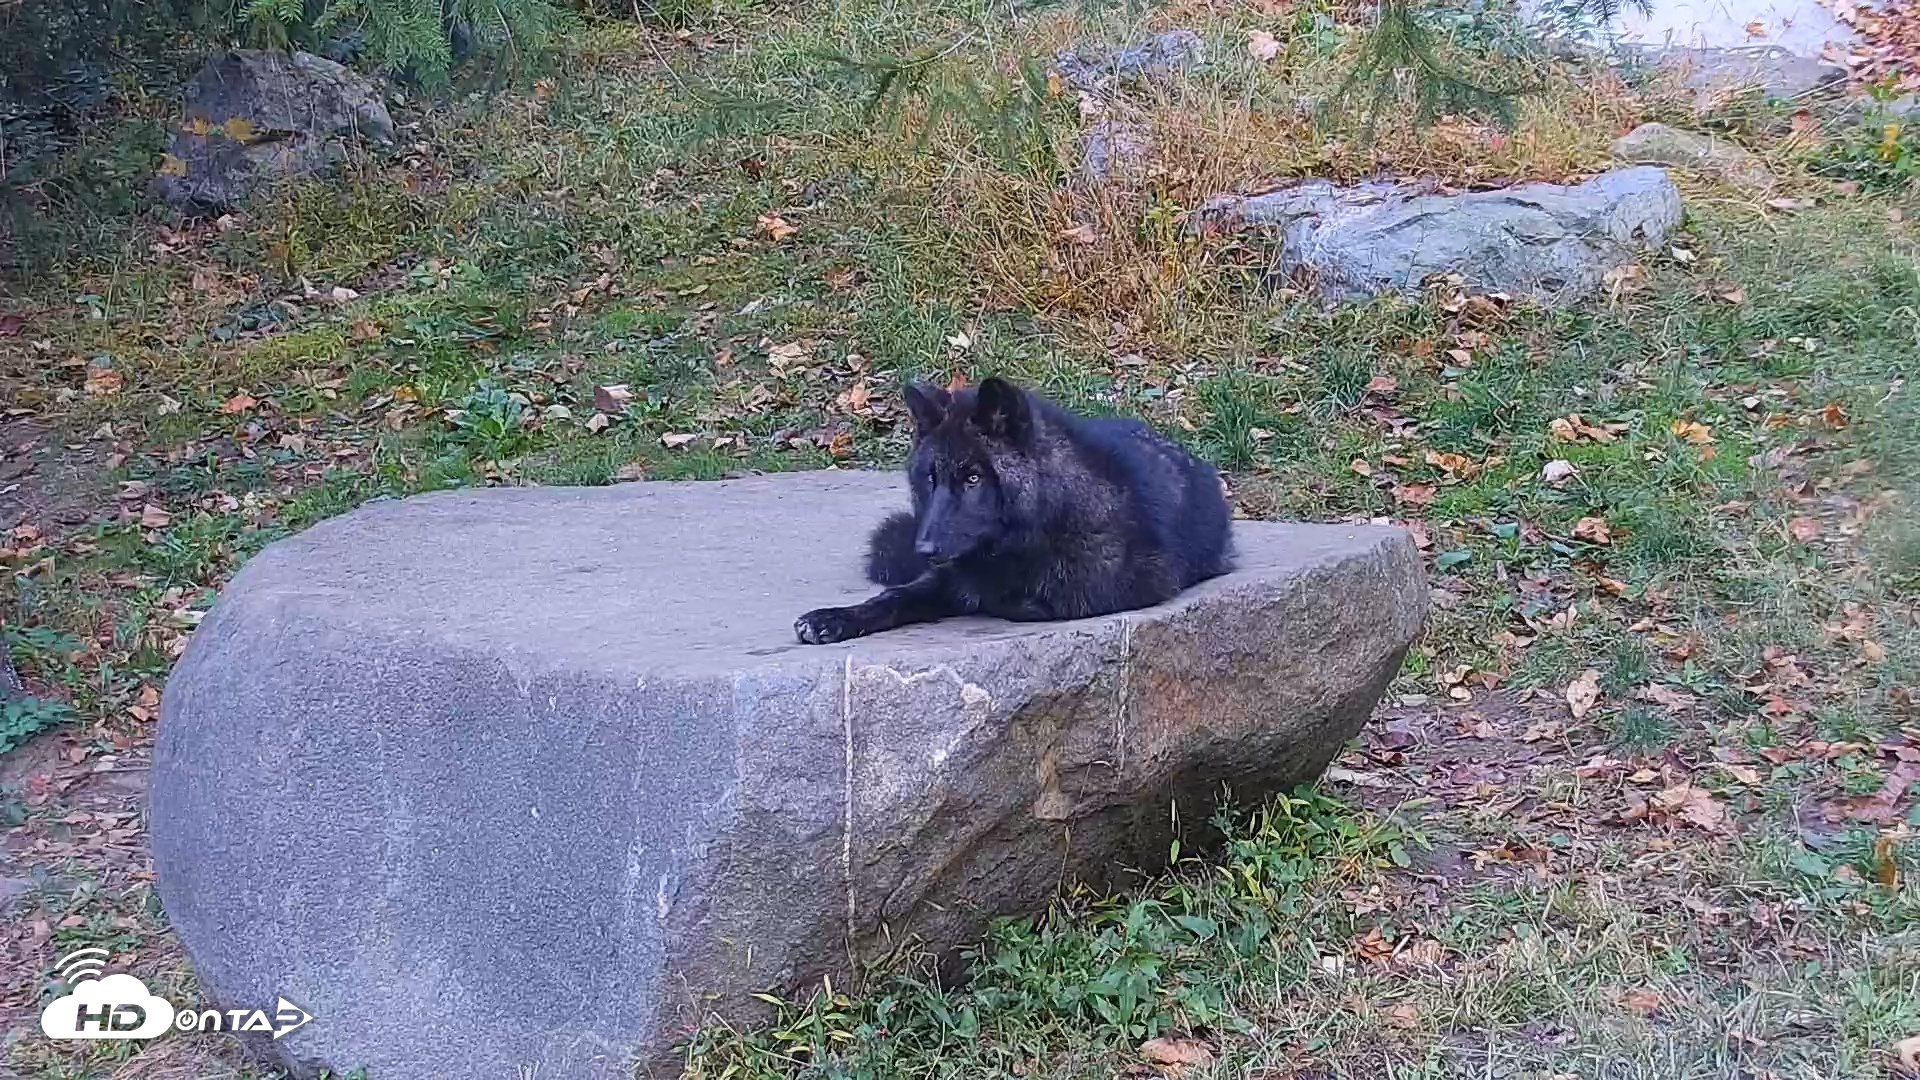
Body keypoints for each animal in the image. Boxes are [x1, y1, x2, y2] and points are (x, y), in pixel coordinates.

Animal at [794, 375, 1234, 644]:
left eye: (973, 478)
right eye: (931, 479)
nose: (924, 549)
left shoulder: (1121, 590)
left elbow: (1014, 603)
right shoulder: (945, 576)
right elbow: (894, 596)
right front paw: (834, 618)